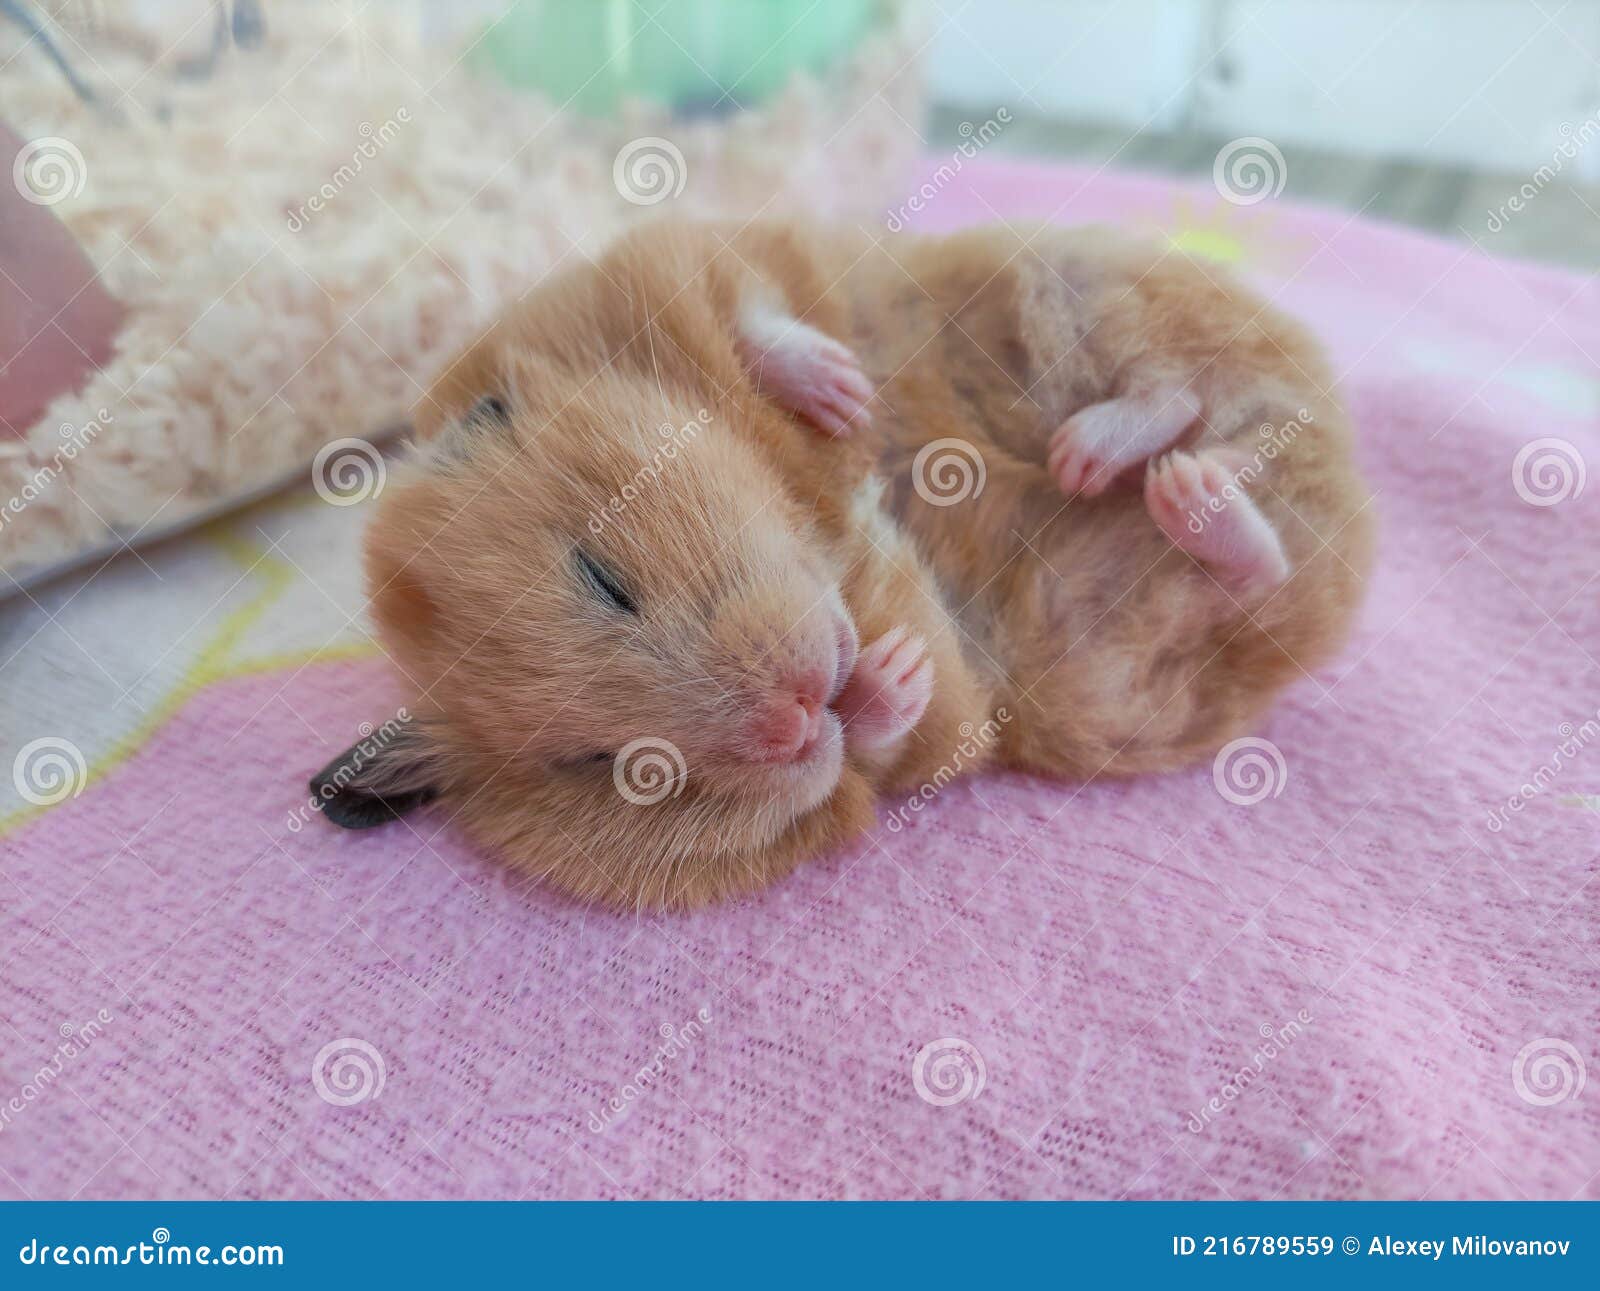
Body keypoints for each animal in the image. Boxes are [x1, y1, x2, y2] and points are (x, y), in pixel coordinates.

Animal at [312, 219, 1376, 908]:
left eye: (603, 579)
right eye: (606, 768)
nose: (792, 715)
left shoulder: (669, 264)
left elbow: (753, 311)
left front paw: (836, 390)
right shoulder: (952, 727)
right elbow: (905, 735)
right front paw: (889, 673)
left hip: (1083, 289)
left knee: (1177, 388)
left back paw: (1103, 455)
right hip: (1106, 676)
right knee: (1255, 566)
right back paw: (1189, 497)